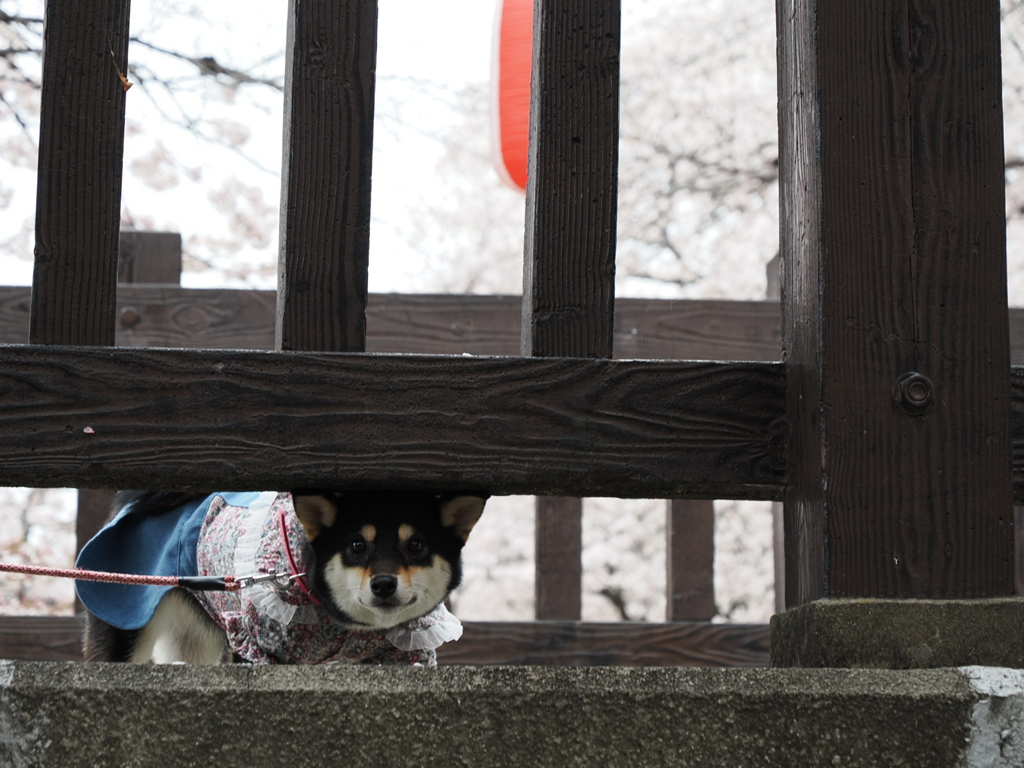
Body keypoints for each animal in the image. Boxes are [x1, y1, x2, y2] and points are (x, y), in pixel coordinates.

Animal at [77, 493, 485, 667]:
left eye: (416, 545)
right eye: (357, 545)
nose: (383, 583)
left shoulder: (407, 653)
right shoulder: (258, 648)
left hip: (197, 639)